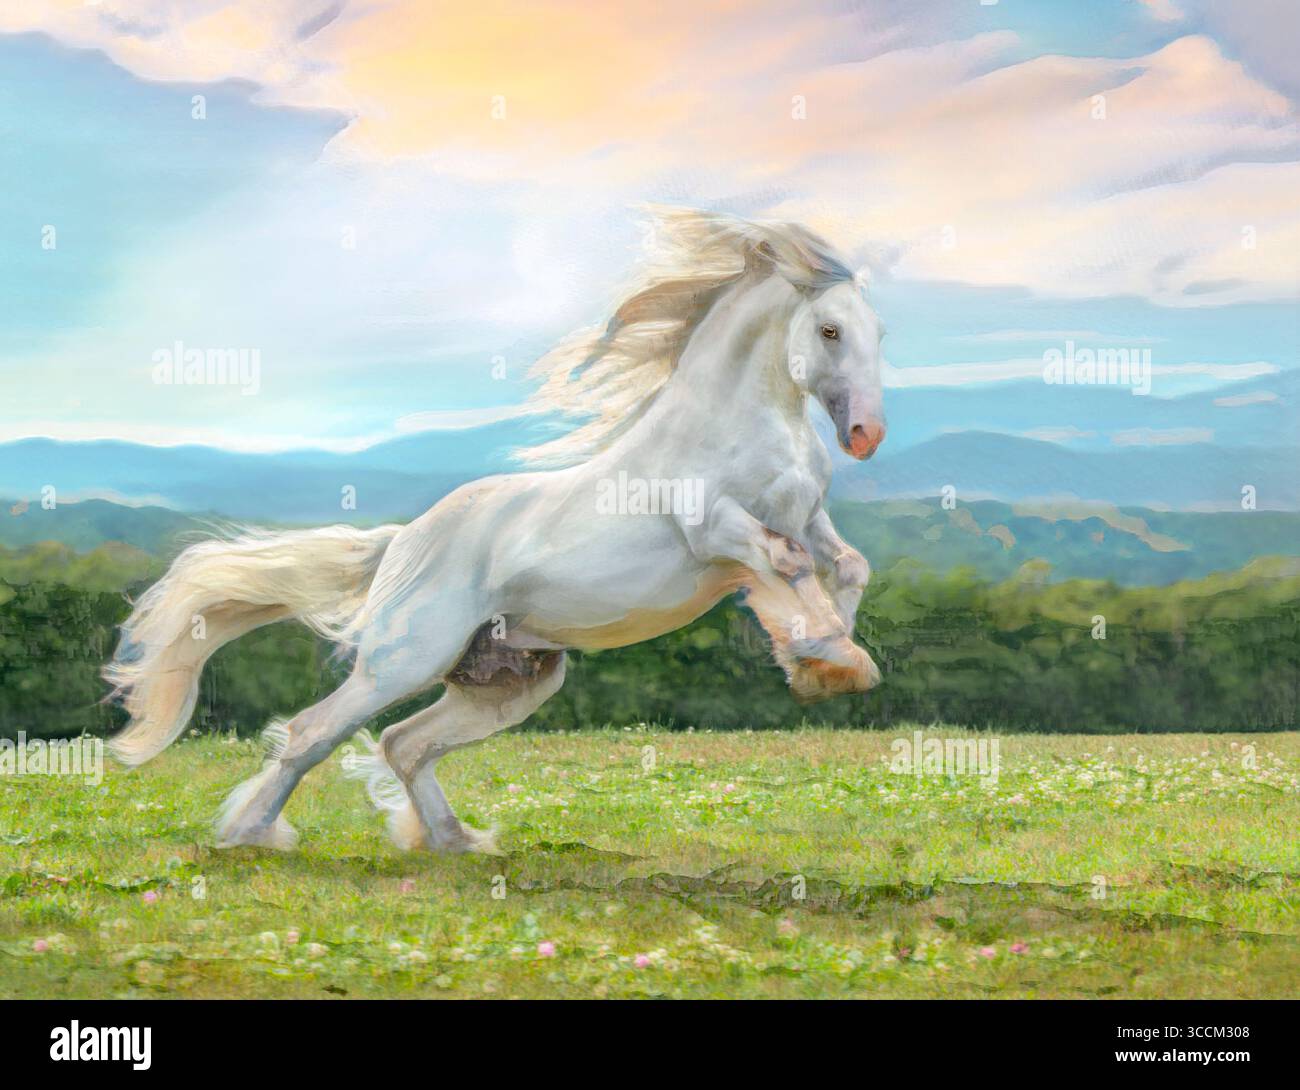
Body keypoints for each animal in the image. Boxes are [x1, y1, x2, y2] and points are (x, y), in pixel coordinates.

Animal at [103, 207, 888, 853]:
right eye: (829, 330)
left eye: (878, 333)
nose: (866, 436)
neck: (741, 421)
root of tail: (401, 541)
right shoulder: (714, 530)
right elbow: (787, 565)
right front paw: (824, 655)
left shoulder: (804, 516)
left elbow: (847, 565)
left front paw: (829, 662)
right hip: (405, 659)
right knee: (314, 733)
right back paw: (251, 835)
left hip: (508, 680)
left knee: (404, 743)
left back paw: (457, 842)